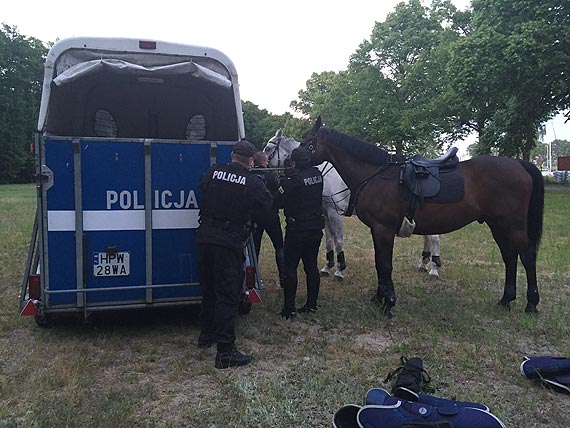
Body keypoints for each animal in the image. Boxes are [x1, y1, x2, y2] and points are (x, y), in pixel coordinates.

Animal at [264, 129, 442, 280]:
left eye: (267, 148)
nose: (262, 166)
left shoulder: (335, 213)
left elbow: (338, 240)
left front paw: (339, 270)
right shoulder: (325, 213)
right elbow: (329, 240)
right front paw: (327, 267)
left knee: (434, 238)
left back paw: (434, 268)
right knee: (429, 236)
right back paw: (423, 263)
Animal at [300, 117, 544, 318]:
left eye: (307, 142)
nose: (293, 160)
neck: (377, 175)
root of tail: (519, 163)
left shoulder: (383, 230)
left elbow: (385, 265)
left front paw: (388, 303)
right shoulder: (376, 230)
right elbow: (379, 263)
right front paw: (378, 298)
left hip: (512, 225)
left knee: (527, 256)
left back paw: (531, 304)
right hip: (498, 225)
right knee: (510, 256)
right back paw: (506, 300)